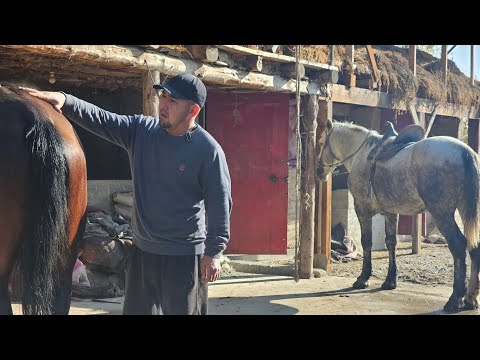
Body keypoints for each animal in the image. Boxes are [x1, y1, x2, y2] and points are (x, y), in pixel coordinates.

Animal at [316, 119, 480, 312]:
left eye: (321, 142)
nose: (319, 172)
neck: (361, 153)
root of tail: (465, 151)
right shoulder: (391, 213)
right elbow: (391, 243)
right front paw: (390, 281)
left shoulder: (362, 209)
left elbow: (367, 242)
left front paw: (363, 279)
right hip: (466, 210)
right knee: (474, 247)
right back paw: (470, 298)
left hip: (442, 213)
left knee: (459, 245)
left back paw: (455, 300)